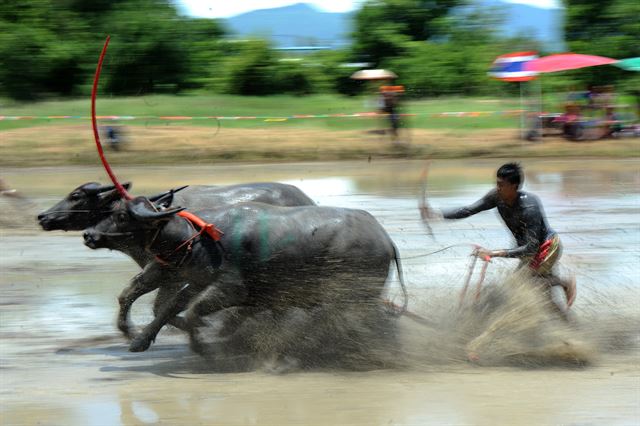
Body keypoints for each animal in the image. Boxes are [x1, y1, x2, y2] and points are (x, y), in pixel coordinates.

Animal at [36, 181, 316, 338]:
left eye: (75, 196)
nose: (42, 216)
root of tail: (307, 199)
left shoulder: (168, 273)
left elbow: (149, 302)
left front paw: (134, 330)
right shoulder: (167, 272)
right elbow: (153, 302)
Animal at [84, 198, 404, 362]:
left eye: (122, 216)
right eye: (112, 212)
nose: (89, 234)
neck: (199, 239)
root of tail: (385, 239)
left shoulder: (231, 289)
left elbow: (193, 311)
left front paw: (205, 348)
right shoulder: (196, 280)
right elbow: (166, 306)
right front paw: (139, 339)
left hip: (352, 296)